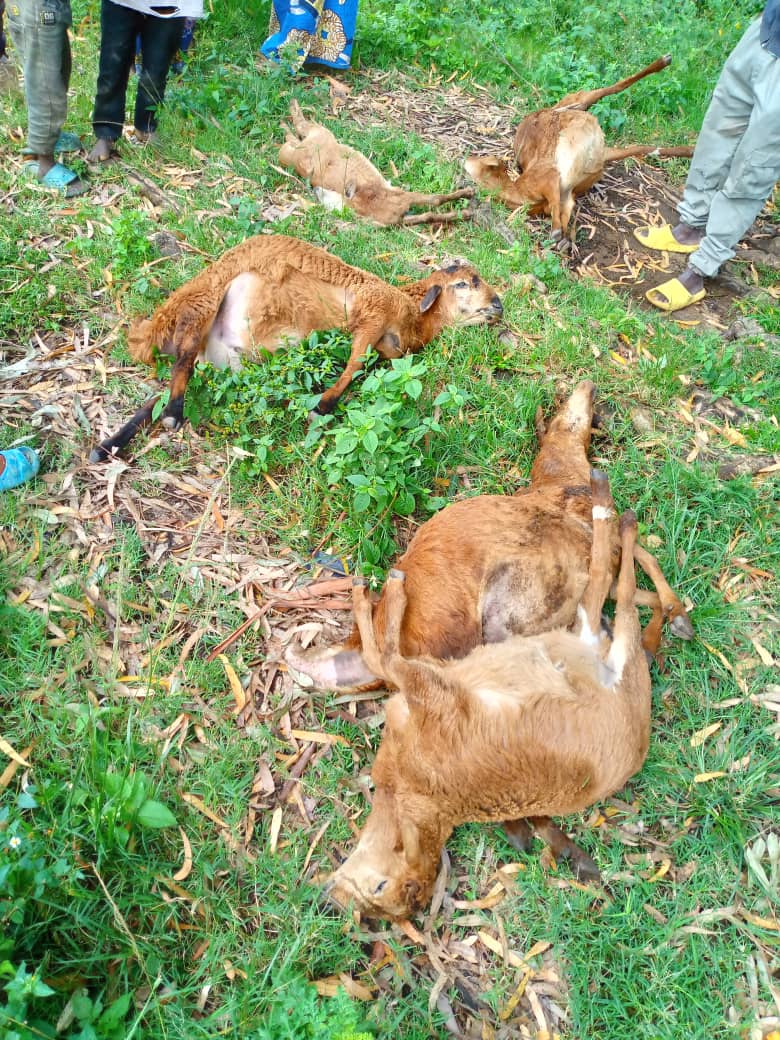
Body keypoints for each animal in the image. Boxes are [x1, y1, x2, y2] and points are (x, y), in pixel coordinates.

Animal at [88, 238, 503, 465]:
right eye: (465, 283)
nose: (498, 304)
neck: (413, 312)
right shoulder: (372, 315)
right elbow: (354, 364)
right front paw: (324, 404)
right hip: (207, 300)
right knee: (183, 359)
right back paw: (173, 415)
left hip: (221, 359)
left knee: (162, 391)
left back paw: (109, 445)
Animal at [280, 100, 476, 226]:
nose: (316, 190)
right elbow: (435, 200)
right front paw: (467, 198)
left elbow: (430, 211)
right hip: (317, 137)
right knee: (298, 129)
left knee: (294, 135)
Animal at [324, 474, 653, 919]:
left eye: (379, 887)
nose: (332, 896)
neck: (414, 790)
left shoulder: (432, 693)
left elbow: (384, 656)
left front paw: (383, 590)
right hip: (582, 635)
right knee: (601, 584)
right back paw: (615, 511)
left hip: (609, 652)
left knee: (617, 592)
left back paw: (614, 511)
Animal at [467, 57, 694, 243]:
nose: (467, 158)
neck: (521, 194)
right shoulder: (565, 196)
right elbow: (562, 215)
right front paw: (563, 238)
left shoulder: (549, 177)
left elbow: (556, 214)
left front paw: (557, 234)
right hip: (603, 149)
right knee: (645, 147)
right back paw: (690, 149)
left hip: (575, 103)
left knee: (602, 91)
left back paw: (663, 61)